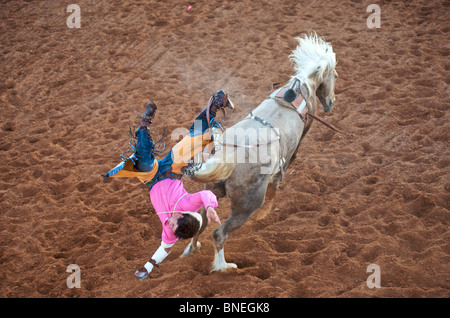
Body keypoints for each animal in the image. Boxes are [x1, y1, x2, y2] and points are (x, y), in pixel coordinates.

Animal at [181, 33, 336, 272]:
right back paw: (224, 266)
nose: (330, 103)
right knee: (219, 234)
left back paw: (191, 249)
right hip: (246, 207)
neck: (300, 88)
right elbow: (283, 171)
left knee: (202, 221)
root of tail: (227, 157)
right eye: (334, 75)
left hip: (211, 192)